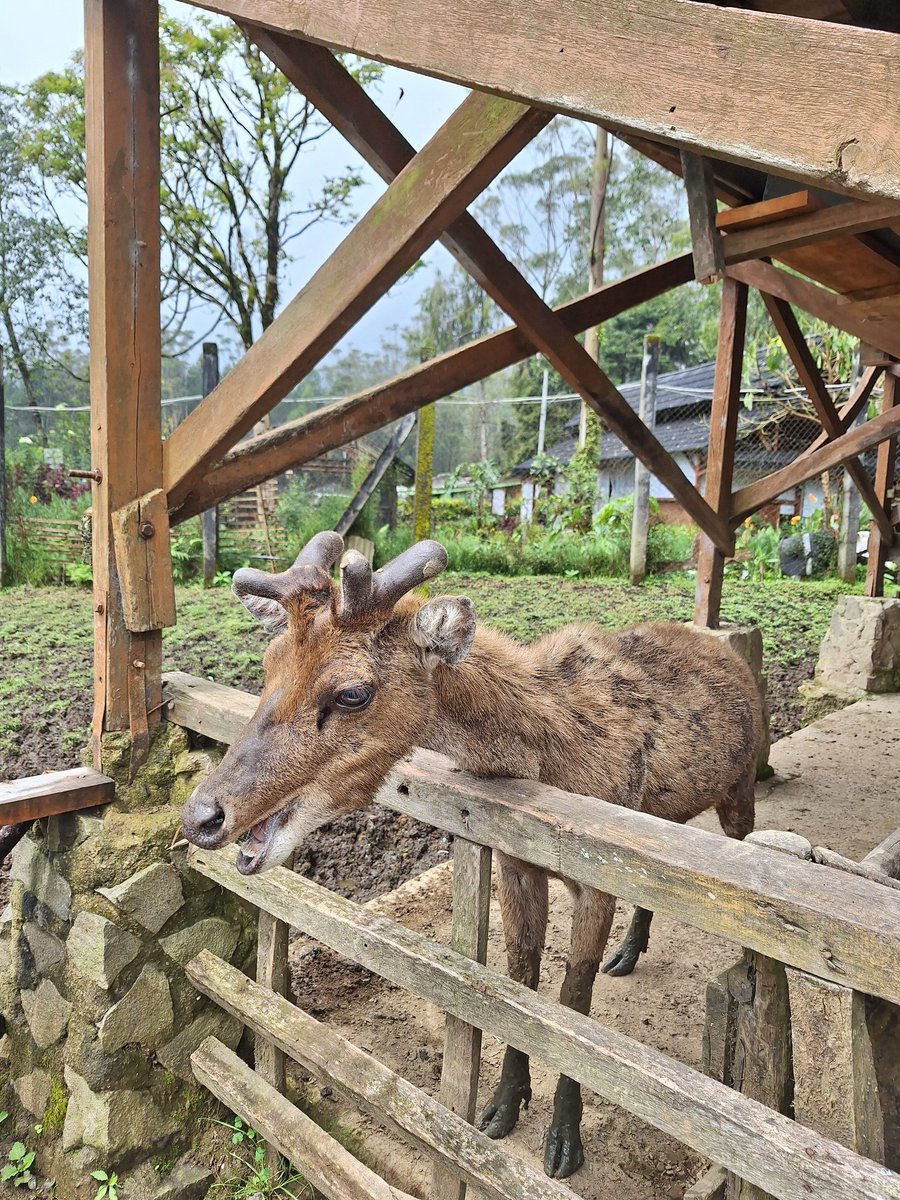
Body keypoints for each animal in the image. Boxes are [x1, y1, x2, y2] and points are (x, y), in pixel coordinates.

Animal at [184, 537, 768, 1180]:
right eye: (268, 665)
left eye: (353, 691)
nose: (202, 815)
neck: (553, 756)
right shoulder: (516, 863)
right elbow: (519, 981)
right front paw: (501, 1107)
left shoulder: (598, 877)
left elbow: (573, 1002)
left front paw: (563, 1142)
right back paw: (630, 951)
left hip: (741, 787)